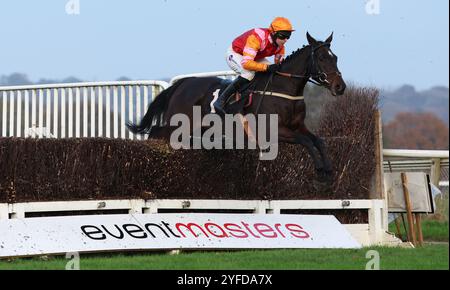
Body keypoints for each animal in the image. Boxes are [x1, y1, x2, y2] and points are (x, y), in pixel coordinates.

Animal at [128, 31, 346, 181]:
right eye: (321, 58)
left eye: (335, 57)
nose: (340, 86)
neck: (284, 89)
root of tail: (184, 83)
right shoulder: (273, 131)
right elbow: (306, 141)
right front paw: (320, 171)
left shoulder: (298, 126)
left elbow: (318, 141)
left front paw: (328, 171)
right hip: (178, 123)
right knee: (157, 132)